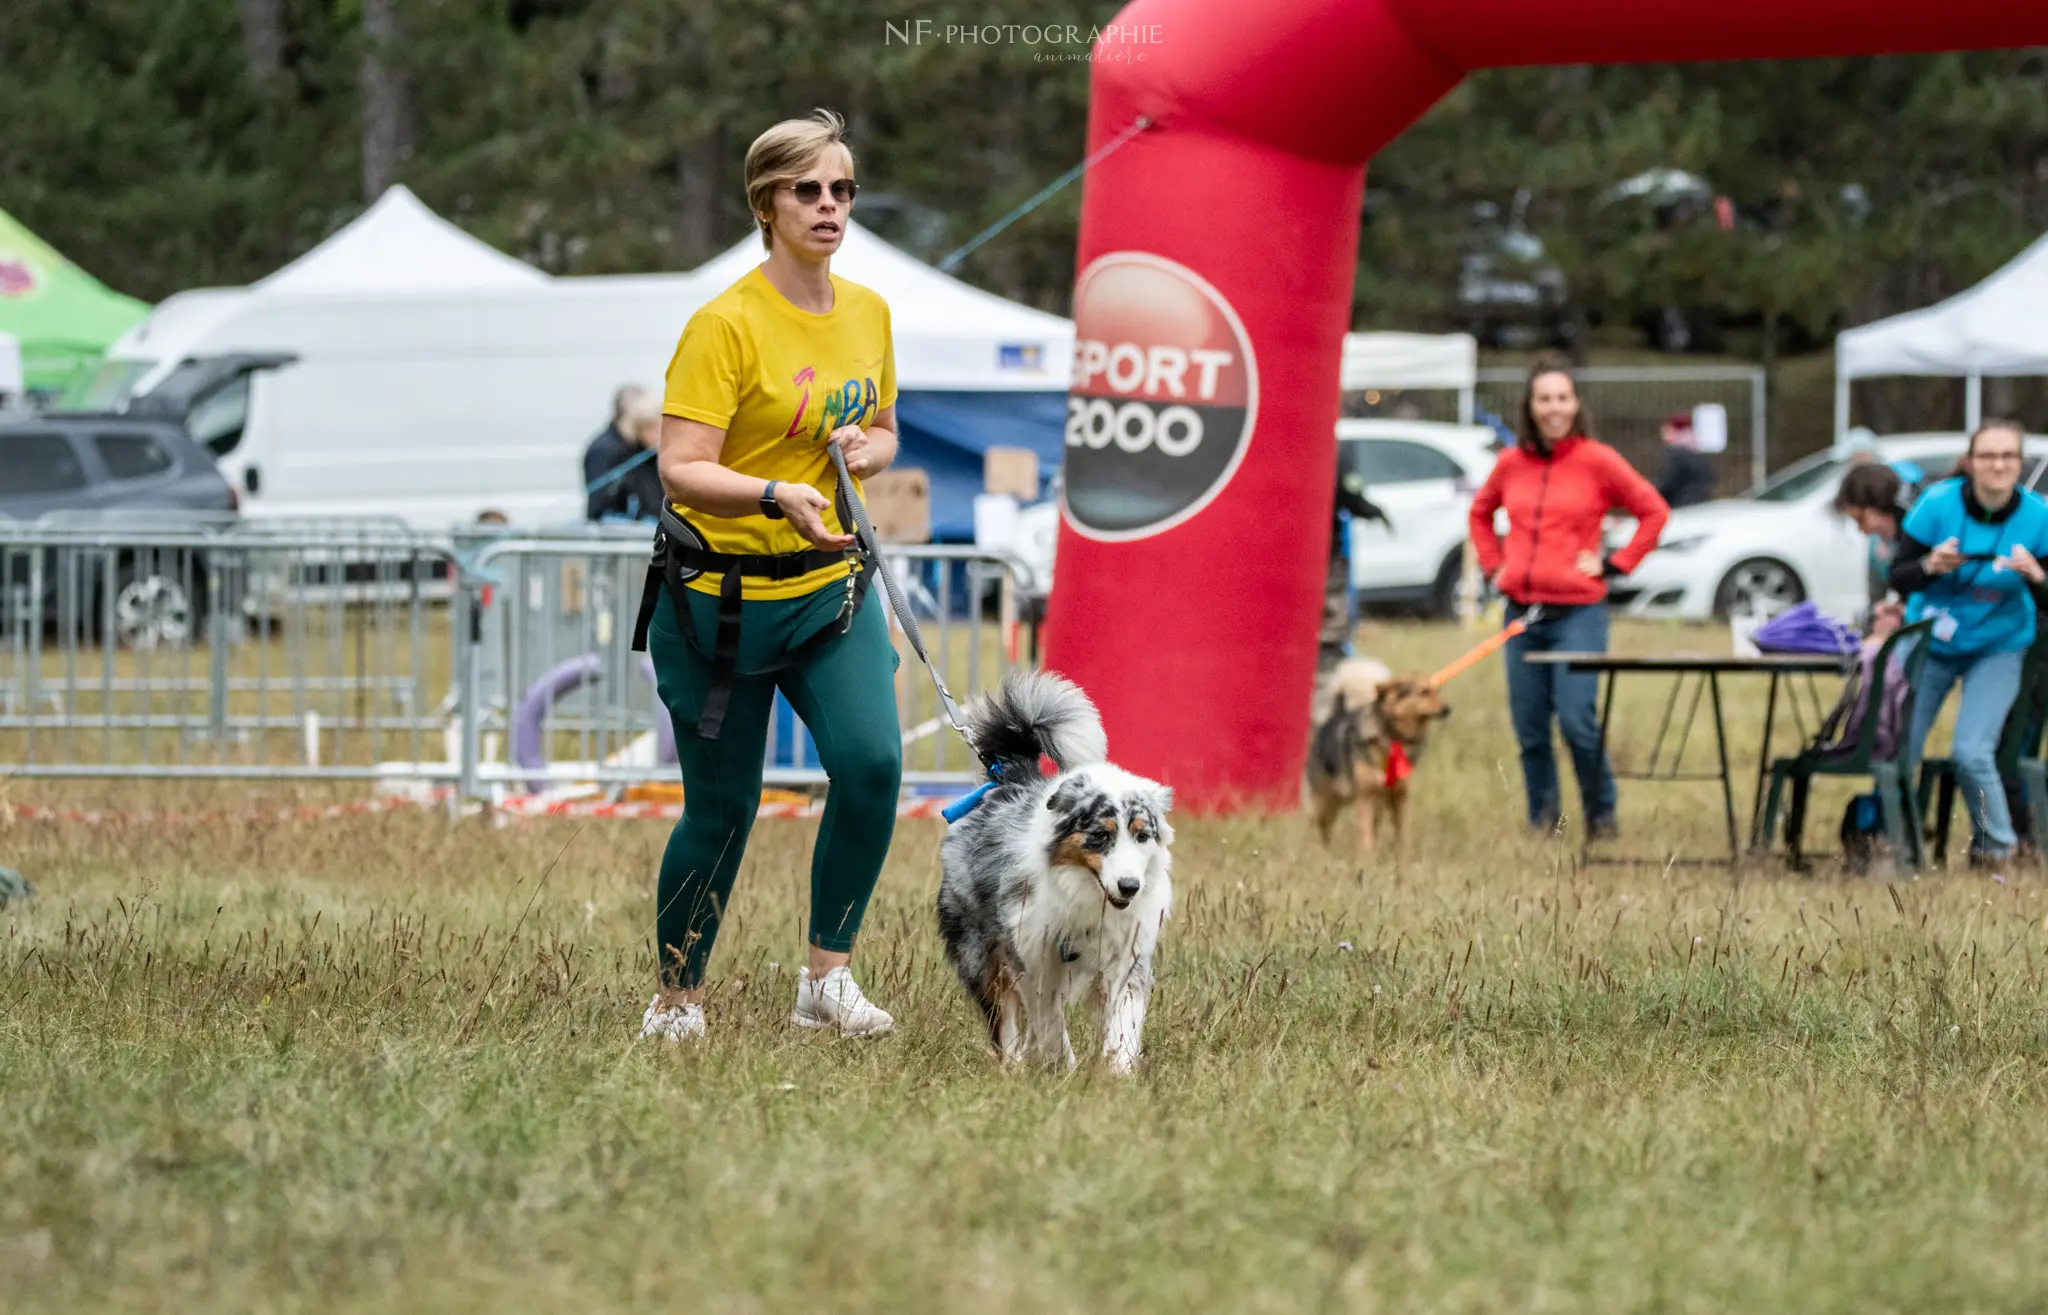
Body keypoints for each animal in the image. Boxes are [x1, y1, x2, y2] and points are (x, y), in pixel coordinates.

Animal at [1302, 655, 1449, 860]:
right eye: (1423, 692)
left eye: (1436, 692)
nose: (1447, 709)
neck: (1391, 738)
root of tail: (1336, 715)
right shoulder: (1365, 798)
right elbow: (1366, 838)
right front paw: (1366, 861)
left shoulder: (1399, 797)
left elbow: (1403, 835)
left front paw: (1404, 860)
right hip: (1325, 801)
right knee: (1320, 828)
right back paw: (1319, 854)